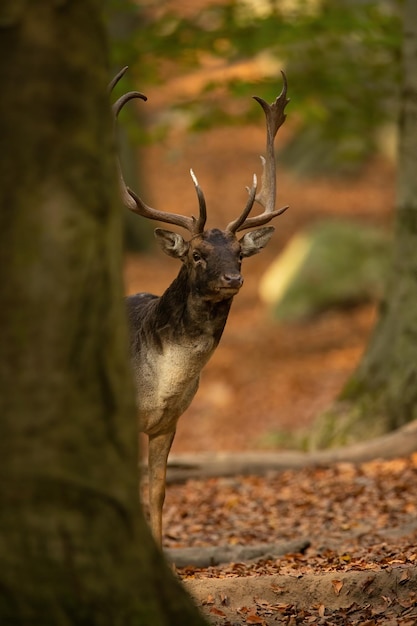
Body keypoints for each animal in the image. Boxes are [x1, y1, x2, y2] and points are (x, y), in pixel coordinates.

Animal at [110, 66, 290, 544]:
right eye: (195, 254)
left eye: (241, 253)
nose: (234, 279)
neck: (161, 382)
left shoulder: (169, 422)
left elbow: (156, 494)